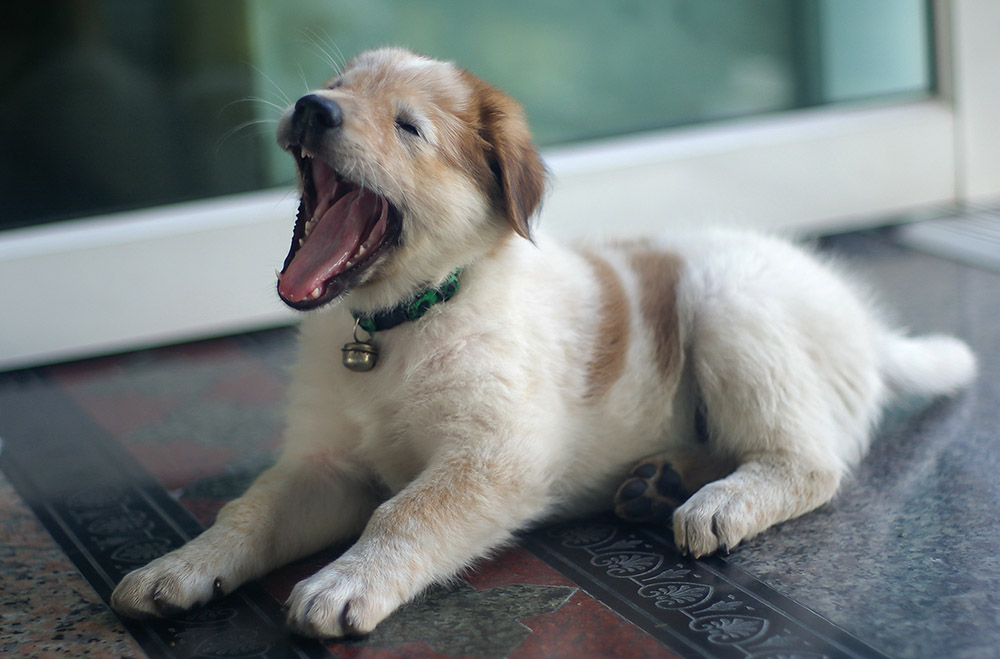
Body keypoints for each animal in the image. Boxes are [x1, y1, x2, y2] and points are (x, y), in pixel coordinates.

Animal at [111, 47, 976, 640]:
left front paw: (344, 582)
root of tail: (866, 329)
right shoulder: (322, 465)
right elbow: (248, 512)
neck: (404, 322)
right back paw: (660, 480)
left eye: (409, 126)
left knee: (809, 459)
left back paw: (718, 501)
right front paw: (178, 568)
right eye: (337, 81)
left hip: (730, 301)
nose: (313, 107)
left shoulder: (493, 458)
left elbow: (404, 512)